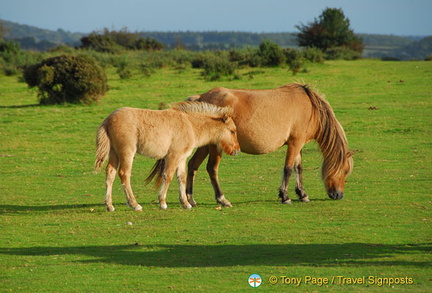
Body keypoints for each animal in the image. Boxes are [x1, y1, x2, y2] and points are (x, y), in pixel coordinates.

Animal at [94, 101, 240, 211]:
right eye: (232, 131)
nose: (236, 150)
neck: (190, 125)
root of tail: (108, 120)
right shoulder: (173, 155)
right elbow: (168, 176)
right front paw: (163, 202)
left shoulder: (182, 158)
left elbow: (181, 178)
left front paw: (185, 203)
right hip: (127, 152)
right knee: (124, 174)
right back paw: (134, 204)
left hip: (114, 153)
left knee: (110, 173)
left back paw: (109, 205)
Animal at [186, 83, 354, 206]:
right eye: (346, 170)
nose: (338, 195)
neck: (311, 108)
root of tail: (202, 97)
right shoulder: (295, 143)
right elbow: (288, 168)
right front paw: (285, 197)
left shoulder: (298, 144)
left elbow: (298, 168)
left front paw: (302, 195)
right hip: (215, 147)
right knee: (212, 168)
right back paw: (221, 199)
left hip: (205, 145)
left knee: (193, 165)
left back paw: (190, 199)